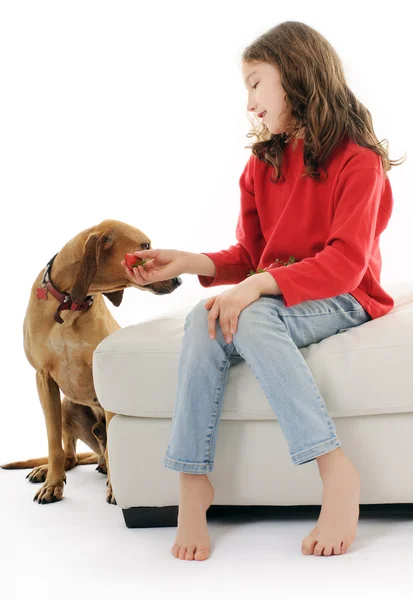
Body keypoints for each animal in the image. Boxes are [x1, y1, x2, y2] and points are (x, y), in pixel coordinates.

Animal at [0, 218, 180, 504]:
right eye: (145, 246)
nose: (179, 279)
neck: (69, 305)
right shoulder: (43, 378)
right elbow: (54, 443)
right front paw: (53, 484)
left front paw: (116, 491)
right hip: (66, 405)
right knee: (69, 456)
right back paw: (47, 469)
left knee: (102, 452)